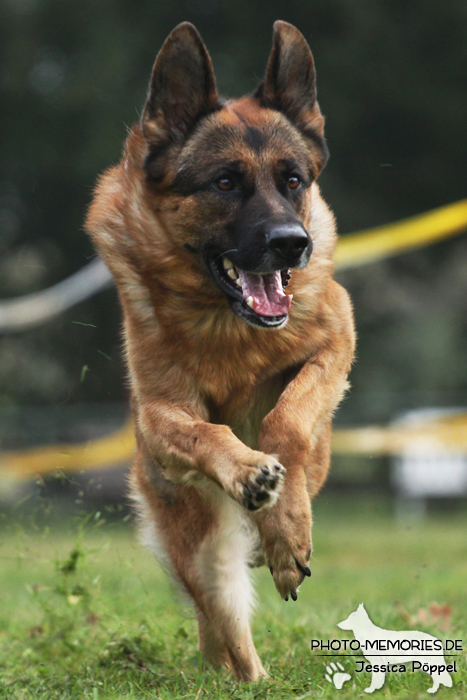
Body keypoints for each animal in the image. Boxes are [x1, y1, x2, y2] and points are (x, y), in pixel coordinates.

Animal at [86, 20, 356, 680]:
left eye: (293, 180)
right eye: (225, 182)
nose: (292, 243)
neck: (228, 326)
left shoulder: (336, 339)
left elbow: (288, 417)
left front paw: (287, 529)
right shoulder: (158, 415)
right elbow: (203, 431)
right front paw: (249, 472)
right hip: (207, 557)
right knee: (230, 635)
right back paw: (250, 675)